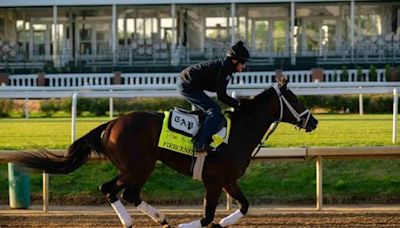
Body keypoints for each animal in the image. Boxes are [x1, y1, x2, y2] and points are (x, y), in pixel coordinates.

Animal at [6, 77, 318, 228]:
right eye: (294, 99)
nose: (313, 121)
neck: (239, 133)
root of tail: (111, 124)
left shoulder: (229, 180)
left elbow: (244, 206)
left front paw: (223, 222)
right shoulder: (214, 180)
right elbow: (206, 216)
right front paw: (189, 225)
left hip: (140, 167)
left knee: (128, 193)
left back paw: (161, 219)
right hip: (138, 166)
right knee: (111, 189)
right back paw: (133, 222)